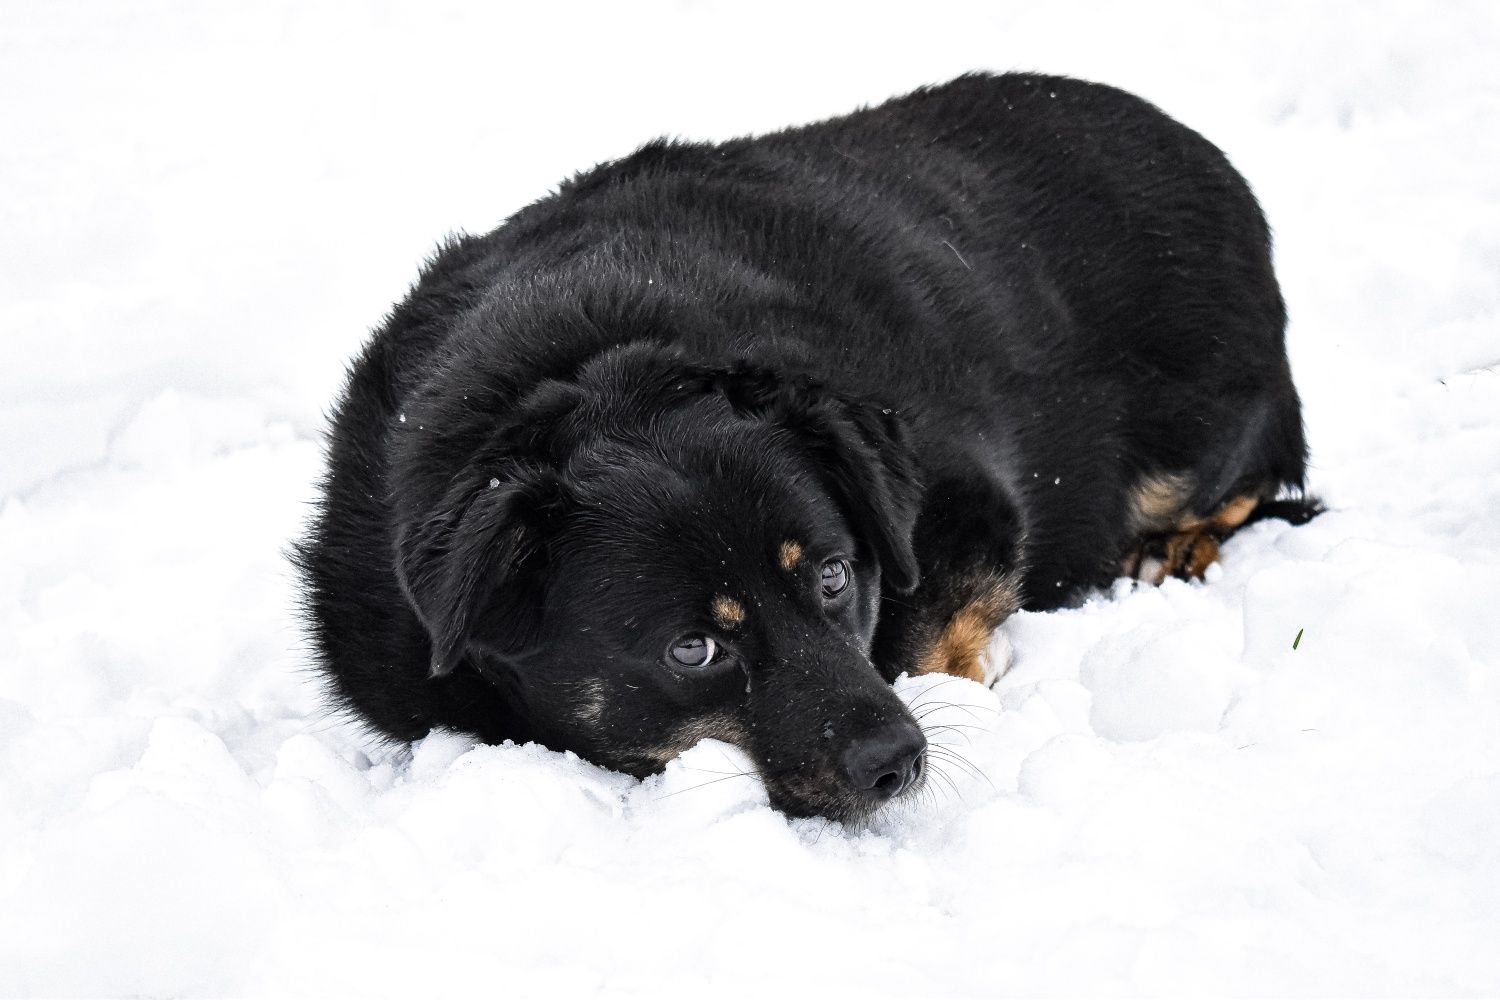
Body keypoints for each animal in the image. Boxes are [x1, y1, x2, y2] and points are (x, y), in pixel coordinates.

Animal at [298, 68, 1320, 821]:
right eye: (692, 650)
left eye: (832, 576)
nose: (899, 761)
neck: (586, 358)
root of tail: (1209, 159)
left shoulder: (963, 498)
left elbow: (924, 629)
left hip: (1199, 434)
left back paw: (1170, 551)